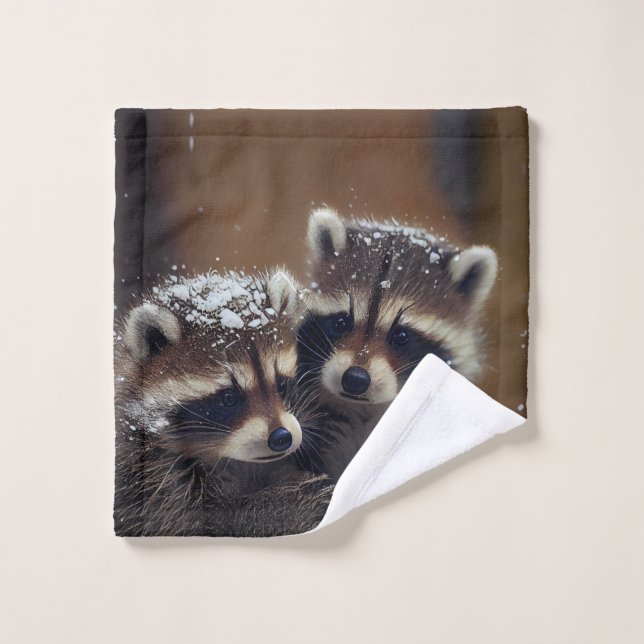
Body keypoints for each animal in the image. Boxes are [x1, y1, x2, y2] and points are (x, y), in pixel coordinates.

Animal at [114, 268, 333, 536]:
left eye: (281, 385)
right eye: (229, 398)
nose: (282, 438)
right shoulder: (145, 470)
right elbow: (202, 522)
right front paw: (288, 505)